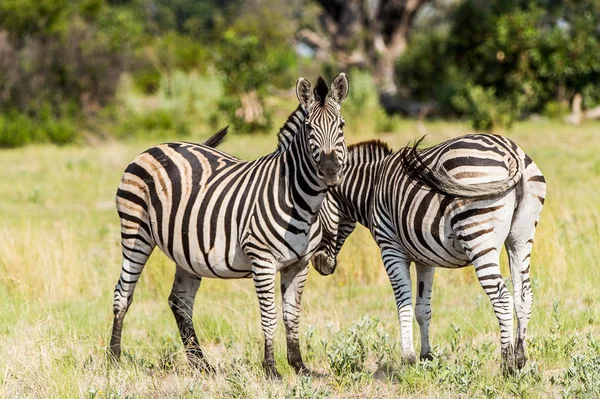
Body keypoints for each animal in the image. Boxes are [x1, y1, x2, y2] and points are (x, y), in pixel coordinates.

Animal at [110, 74, 350, 378]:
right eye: (309, 128)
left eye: (341, 126)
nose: (330, 173)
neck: (299, 198)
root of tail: (158, 146)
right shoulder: (262, 259)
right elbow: (270, 316)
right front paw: (271, 369)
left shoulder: (299, 264)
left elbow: (292, 315)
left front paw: (299, 366)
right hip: (135, 232)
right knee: (123, 293)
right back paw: (114, 358)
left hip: (186, 250)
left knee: (180, 302)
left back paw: (201, 364)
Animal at [312, 134, 548, 376]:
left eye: (313, 213)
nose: (319, 265)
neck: (371, 188)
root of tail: (510, 151)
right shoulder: (425, 258)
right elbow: (422, 309)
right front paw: (426, 357)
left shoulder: (391, 249)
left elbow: (403, 304)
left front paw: (407, 359)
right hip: (521, 238)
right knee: (524, 295)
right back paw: (520, 360)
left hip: (478, 236)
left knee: (502, 298)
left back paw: (506, 365)